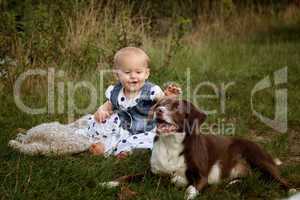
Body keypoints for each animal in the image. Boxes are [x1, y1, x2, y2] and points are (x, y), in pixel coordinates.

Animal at [150, 97, 290, 199]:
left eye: (176, 107)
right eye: (160, 104)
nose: (159, 110)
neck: (170, 144)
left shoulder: (202, 177)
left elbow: (190, 190)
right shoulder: (155, 174)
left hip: (259, 159)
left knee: (281, 180)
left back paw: (291, 191)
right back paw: (234, 183)